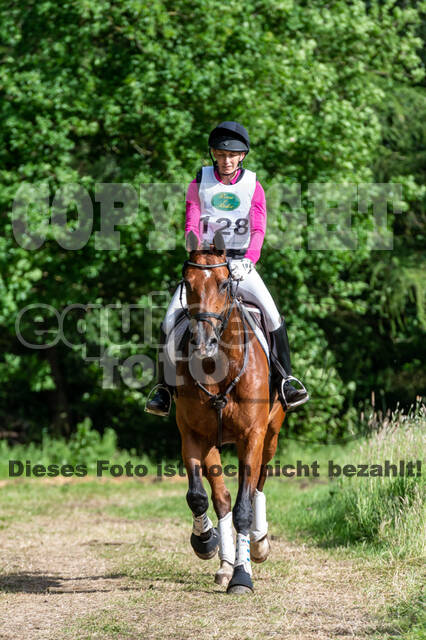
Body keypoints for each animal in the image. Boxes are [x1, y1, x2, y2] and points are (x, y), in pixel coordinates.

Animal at [173, 231, 286, 594]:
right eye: (187, 282)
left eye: (224, 283)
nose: (202, 342)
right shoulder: (194, 436)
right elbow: (200, 497)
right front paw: (205, 542)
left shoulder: (252, 436)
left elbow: (243, 508)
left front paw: (242, 576)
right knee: (220, 497)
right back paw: (224, 562)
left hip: (271, 435)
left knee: (260, 481)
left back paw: (258, 545)